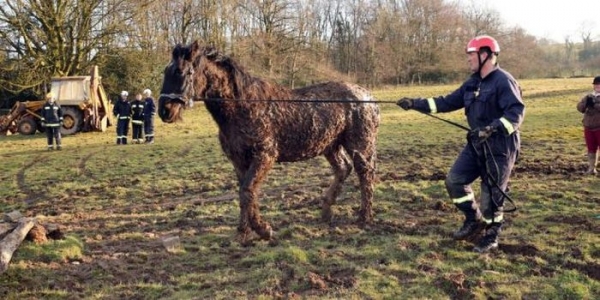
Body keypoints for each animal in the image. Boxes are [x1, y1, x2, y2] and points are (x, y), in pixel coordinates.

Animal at [157, 39, 378, 243]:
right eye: (166, 71)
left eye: (181, 72)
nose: (164, 111)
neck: (243, 106)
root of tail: (368, 97)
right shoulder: (239, 161)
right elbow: (244, 193)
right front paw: (243, 232)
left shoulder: (265, 156)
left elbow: (247, 190)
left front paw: (263, 230)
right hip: (330, 146)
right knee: (343, 168)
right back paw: (325, 211)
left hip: (359, 146)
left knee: (364, 173)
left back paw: (364, 217)